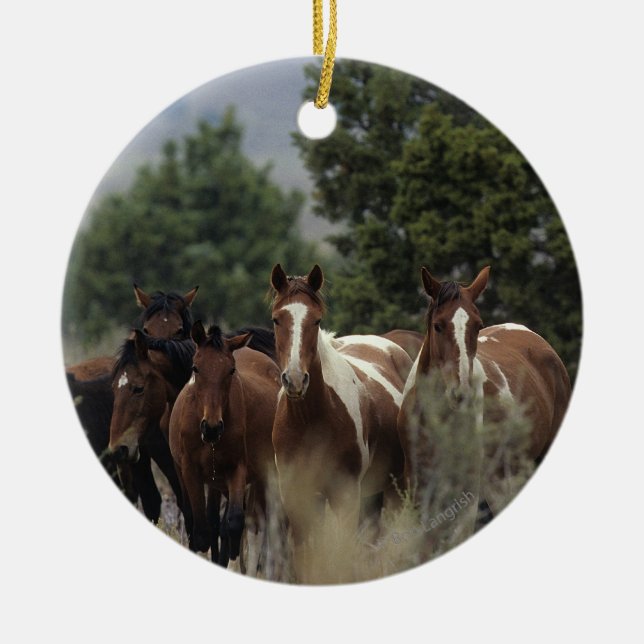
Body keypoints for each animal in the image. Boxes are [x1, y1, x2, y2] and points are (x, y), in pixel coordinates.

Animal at [169, 322, 280, 567]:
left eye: (231, 370)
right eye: (196, 368)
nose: (211, 427)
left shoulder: (236, 469)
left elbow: (235, 523)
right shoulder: (190, 471)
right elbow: (201, 530)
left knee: (253, 525)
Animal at [269, 264, 412, 582]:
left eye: (316, 319)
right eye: (276, 319)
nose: (295, 379)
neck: (311, 421)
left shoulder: (345, 495)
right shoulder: (298, 497)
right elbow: (306, 561)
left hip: (393, 490)